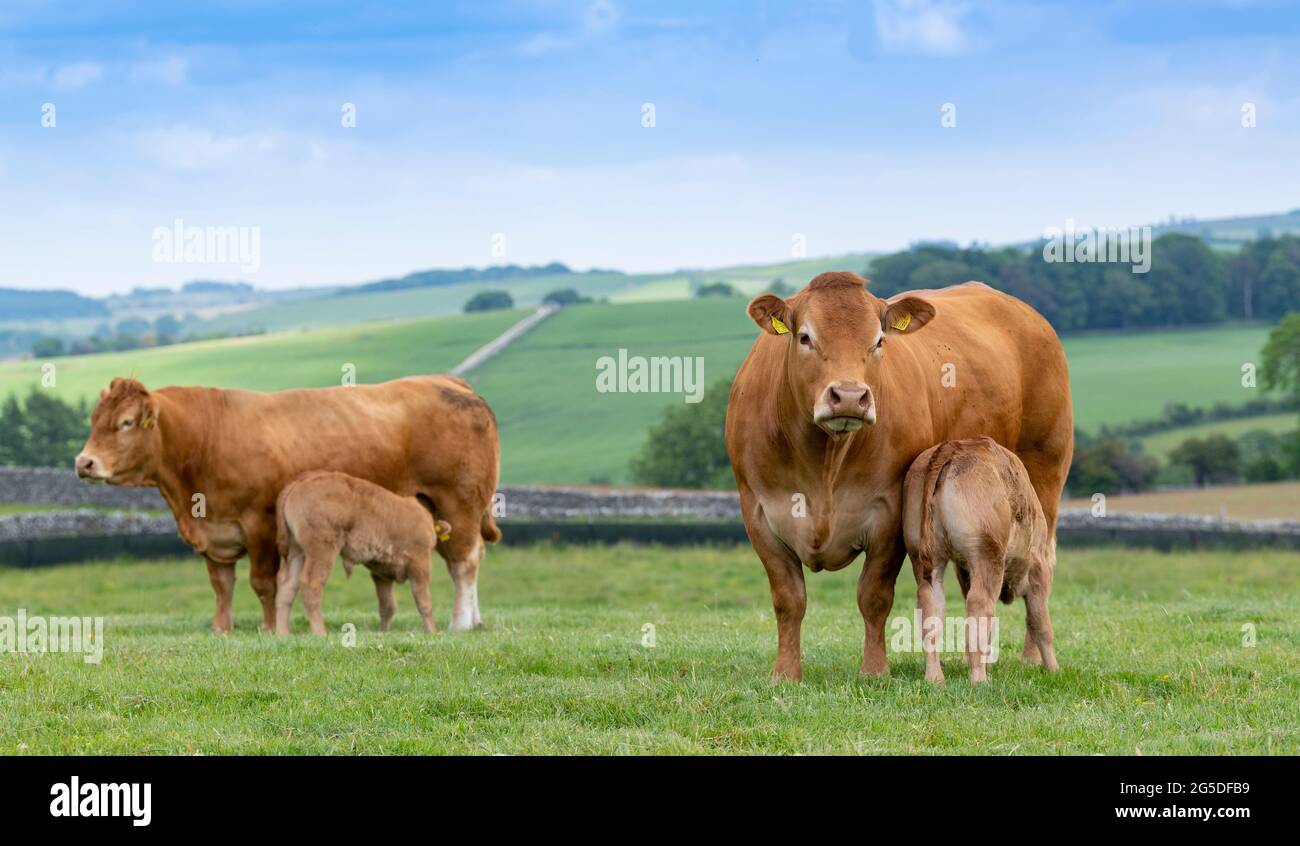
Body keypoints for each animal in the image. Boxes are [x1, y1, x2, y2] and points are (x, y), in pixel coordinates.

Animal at [275, 470, 454, 636]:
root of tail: (300, 483)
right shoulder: (420, 563)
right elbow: (423, 601)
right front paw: (433, 632)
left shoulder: (382, 574)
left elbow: (387, 606)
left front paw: (383, 633)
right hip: (322, 550)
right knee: (311, 584)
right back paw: (320, 633)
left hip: (298, 552)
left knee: (288, 585)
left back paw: (283, 634)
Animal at [902, 437, 1059, 683]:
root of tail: (954, 447)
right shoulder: (1038, 570)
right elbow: (1040, 623)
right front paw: (1053, 669)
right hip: (987, 555)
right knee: (979, 605)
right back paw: (979, 680)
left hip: (925, 558)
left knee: (931, 608)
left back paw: (935, 678)